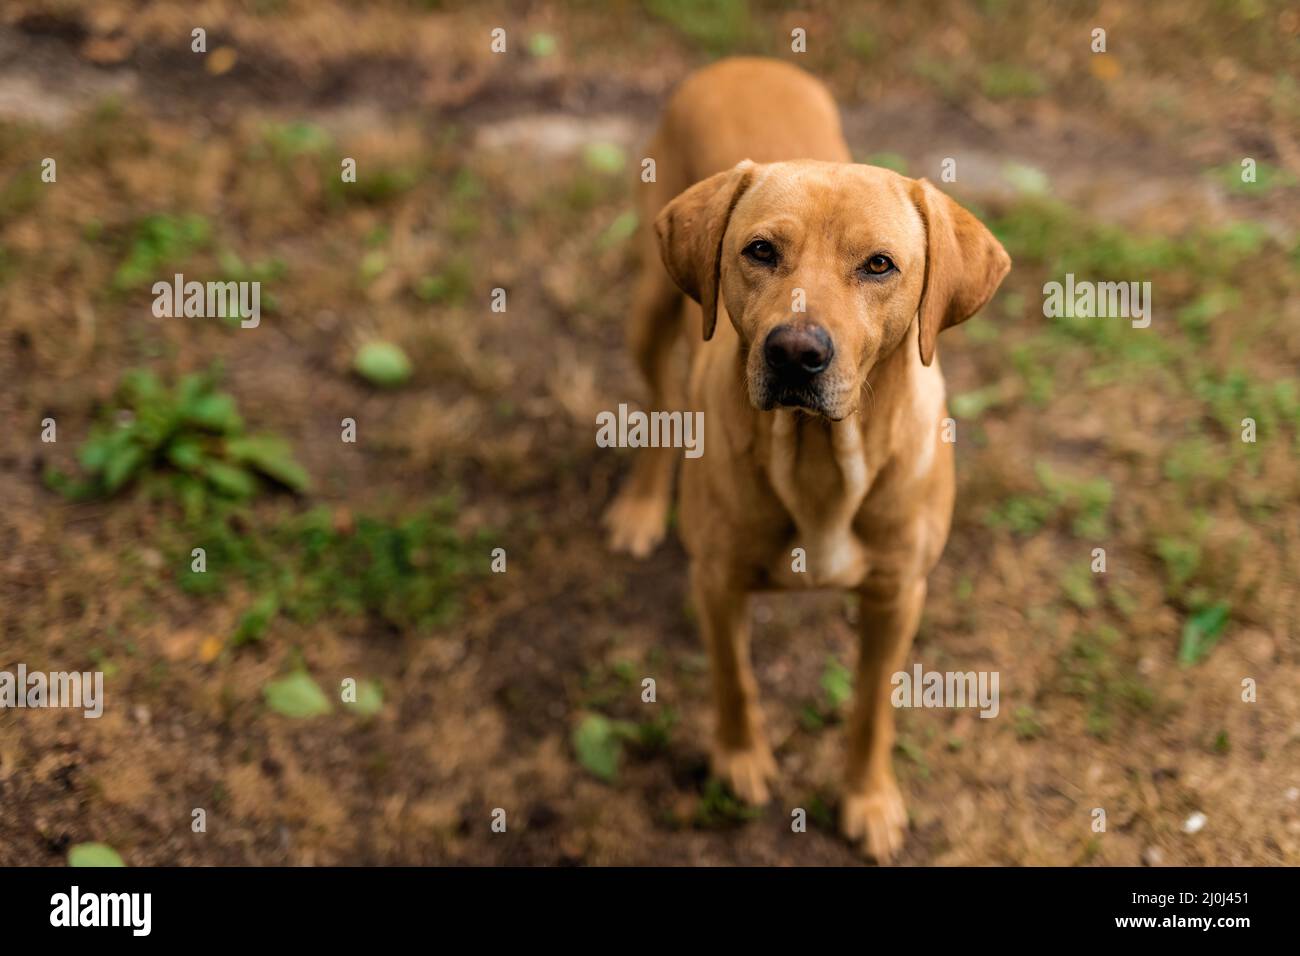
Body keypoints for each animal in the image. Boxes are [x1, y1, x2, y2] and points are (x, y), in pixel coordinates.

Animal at [603, 59, 1008, 863]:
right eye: (760, 250)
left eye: (879, 265)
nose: (795, 351)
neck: (821, 458)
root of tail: (744, 63)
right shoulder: (718, 580)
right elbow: (734, 679)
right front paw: (740, 759)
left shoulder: (898, 595)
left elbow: (872, 707)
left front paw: (868, 799)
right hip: (651, 302)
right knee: (660, 397)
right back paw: (641, 505)